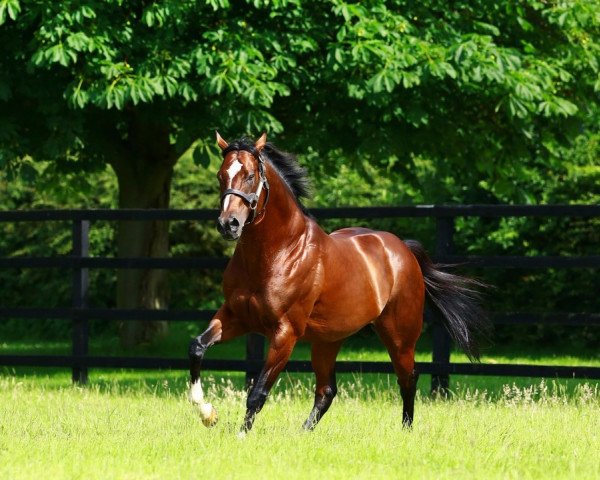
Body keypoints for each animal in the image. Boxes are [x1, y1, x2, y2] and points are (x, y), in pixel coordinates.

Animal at [190, 133, 490, 434]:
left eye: (250, 175)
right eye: (220, 175)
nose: (228, 224)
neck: (278, 252)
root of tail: (403, 248)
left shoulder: (285, 332)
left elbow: (258, 392)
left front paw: (241, 436)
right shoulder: (236, 317)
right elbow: (197, 347)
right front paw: (208, 414)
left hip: (399, 335)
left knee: (408, 377)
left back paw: (406, 429)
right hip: (328, 339)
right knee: (326, 391)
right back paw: (303, 434)